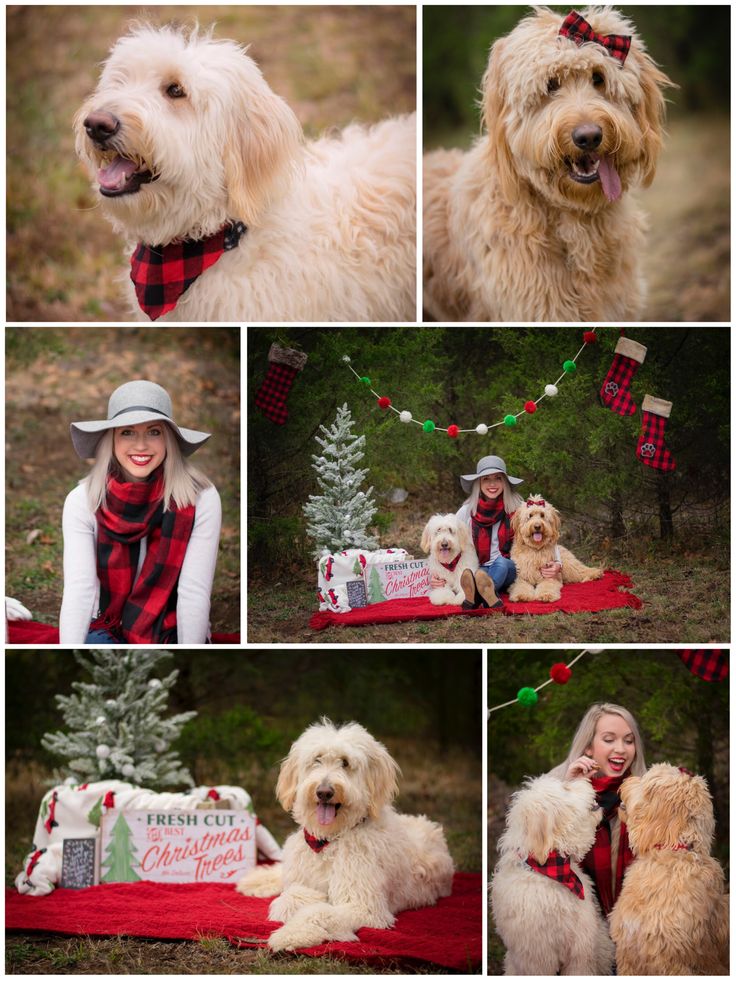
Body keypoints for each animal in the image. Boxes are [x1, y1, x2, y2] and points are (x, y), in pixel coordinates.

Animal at [237, 720, 454, 948]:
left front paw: (290, 934)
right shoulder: (300, 878)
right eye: (317, 759)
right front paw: (308, 898)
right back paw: (255, 880)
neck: (328, 840)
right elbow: (290, 897)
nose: (324, 792)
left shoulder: (364, 906)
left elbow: (318, 913)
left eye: (345, 762)